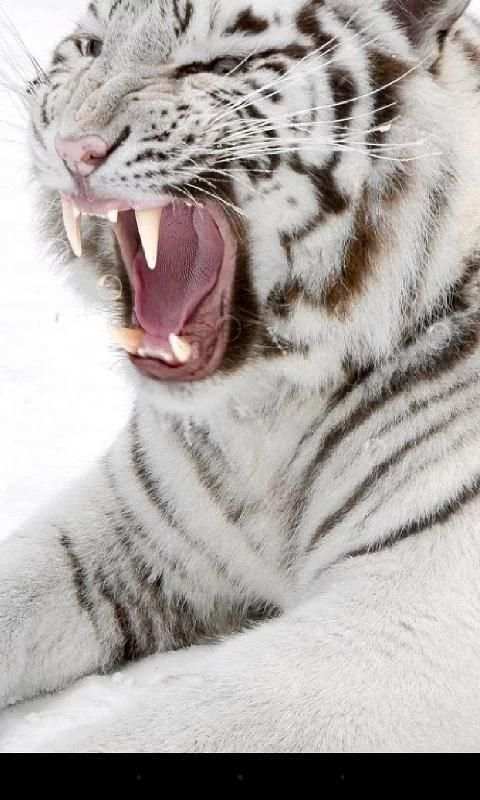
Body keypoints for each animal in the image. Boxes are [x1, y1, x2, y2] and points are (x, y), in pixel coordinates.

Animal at [1, 0, 480, 753]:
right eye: (89, 48)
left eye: (216, 66)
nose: (75, 149)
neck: (263, 415)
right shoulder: (130, 527)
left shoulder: (409, 613)